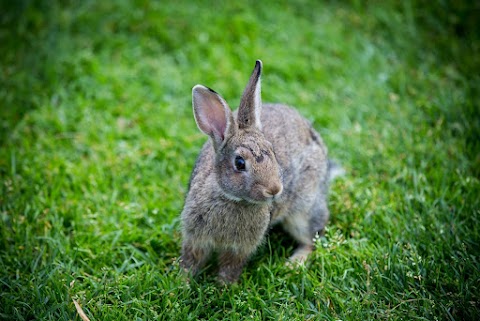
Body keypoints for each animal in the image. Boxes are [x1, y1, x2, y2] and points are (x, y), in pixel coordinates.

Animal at [182, 60, 336, 282]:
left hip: (305, 209)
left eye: (273, 152)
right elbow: (190, 260)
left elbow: (230, 266)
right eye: (239, 163)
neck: (232, 199)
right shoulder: (194, 237)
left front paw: (223, 286)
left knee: (311, 239)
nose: (274, 190)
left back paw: (293, 264)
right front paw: (181, 282)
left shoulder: (240, 248)